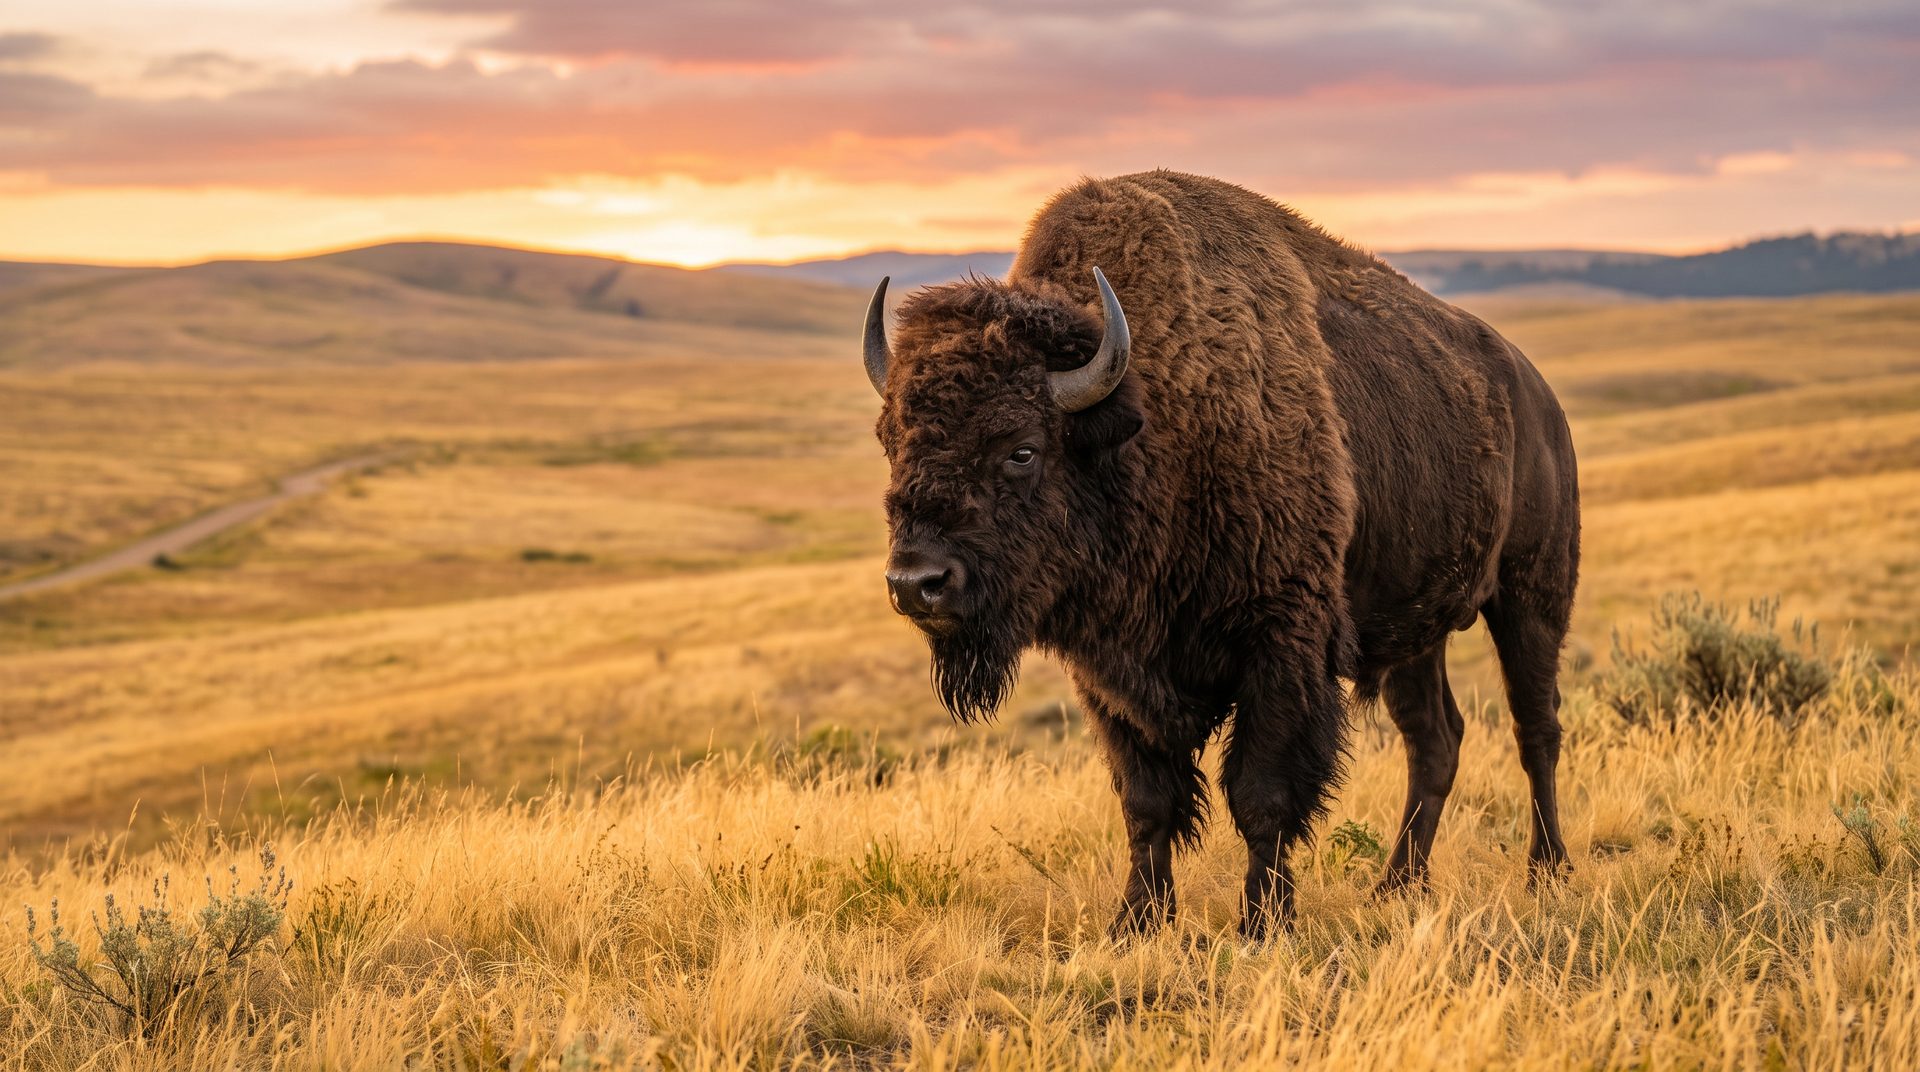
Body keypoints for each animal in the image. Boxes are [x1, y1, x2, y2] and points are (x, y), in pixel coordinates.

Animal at [862, 170, 1579, 938]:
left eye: (1021, 449)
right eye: (891, 442)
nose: (917, 583)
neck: (1151, 417)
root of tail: (1540, 398)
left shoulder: (1281, 647)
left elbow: (1261, 795)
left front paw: (1263, 924)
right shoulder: (1112, 673)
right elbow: (1147, 802)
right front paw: (1136, 922)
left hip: (1531, 598)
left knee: (1536, 728)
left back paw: (1547, 870)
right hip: (1416, 630)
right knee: (1434, 739)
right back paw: (1397, 886)